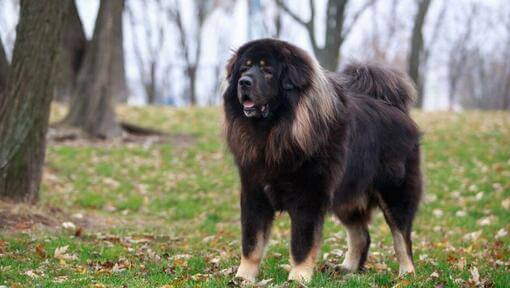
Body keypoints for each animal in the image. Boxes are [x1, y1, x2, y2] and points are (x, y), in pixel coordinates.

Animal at [223, 38, 422, 284]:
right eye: (244, 68)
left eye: (268, 71)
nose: (244, 82)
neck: (274, 133)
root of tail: (396, 108)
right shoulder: (254, 194)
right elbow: (251, 243)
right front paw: (242, 278)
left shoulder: (308, 198)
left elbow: (302, 244)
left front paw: (297, 278)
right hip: (346, 197)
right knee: (361, 235)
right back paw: (347, 269)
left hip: (395, 194)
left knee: (402, 238)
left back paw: (407, 273)